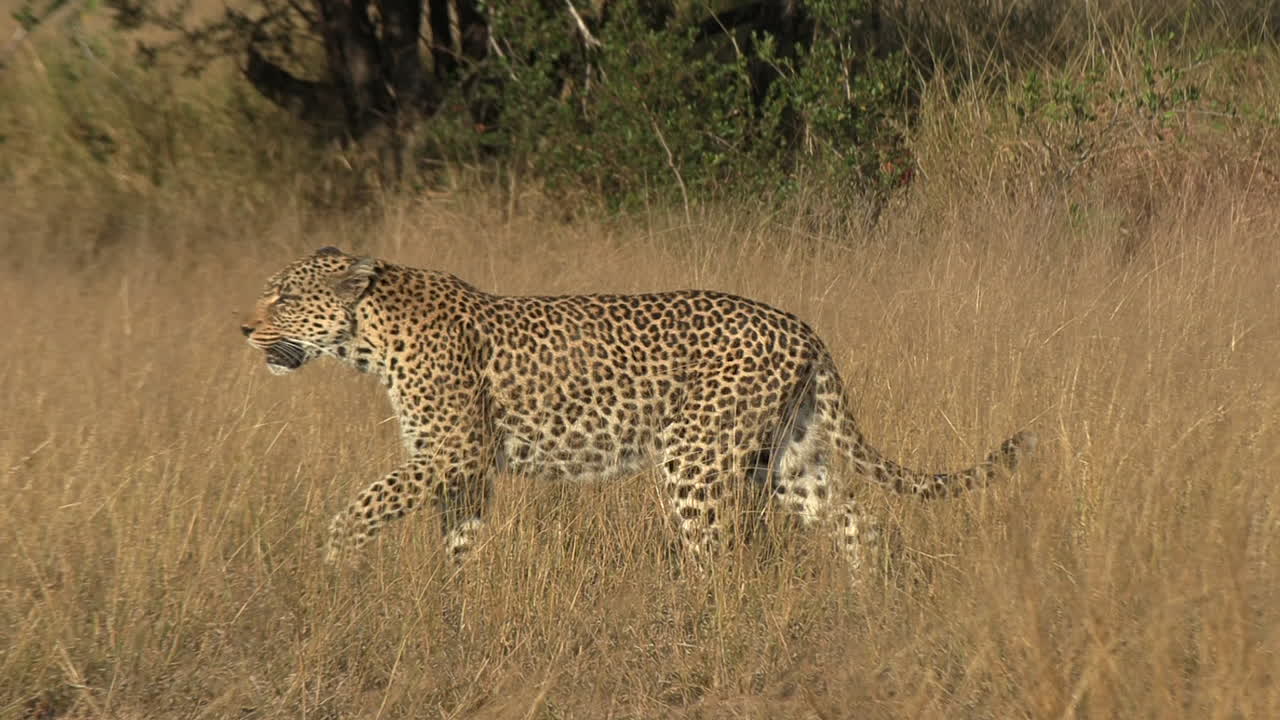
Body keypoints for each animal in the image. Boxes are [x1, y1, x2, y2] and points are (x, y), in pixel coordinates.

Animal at [240, 247, 1036, 569]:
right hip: (787, 455)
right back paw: (861, 607)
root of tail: (802, 327)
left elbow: (361, 505)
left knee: (719, 556)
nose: (243, 328)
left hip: (693, 454)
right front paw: (452, 612)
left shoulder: (453, 454)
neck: (369, 338)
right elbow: (457, 542)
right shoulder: (463, 470)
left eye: (281, 295)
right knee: (855, 521)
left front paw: (335, 564)